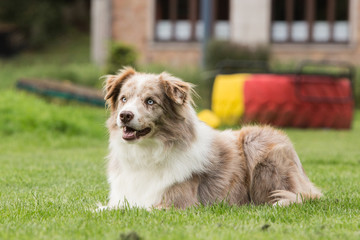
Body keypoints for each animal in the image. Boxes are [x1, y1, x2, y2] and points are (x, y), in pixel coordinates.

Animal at [102, 66, 324, 209]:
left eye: (150, 101)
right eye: (124, 99)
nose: (125, 115)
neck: (146, 152)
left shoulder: (176, 203)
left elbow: (138, 208)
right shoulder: (122, 197)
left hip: (257, 141)